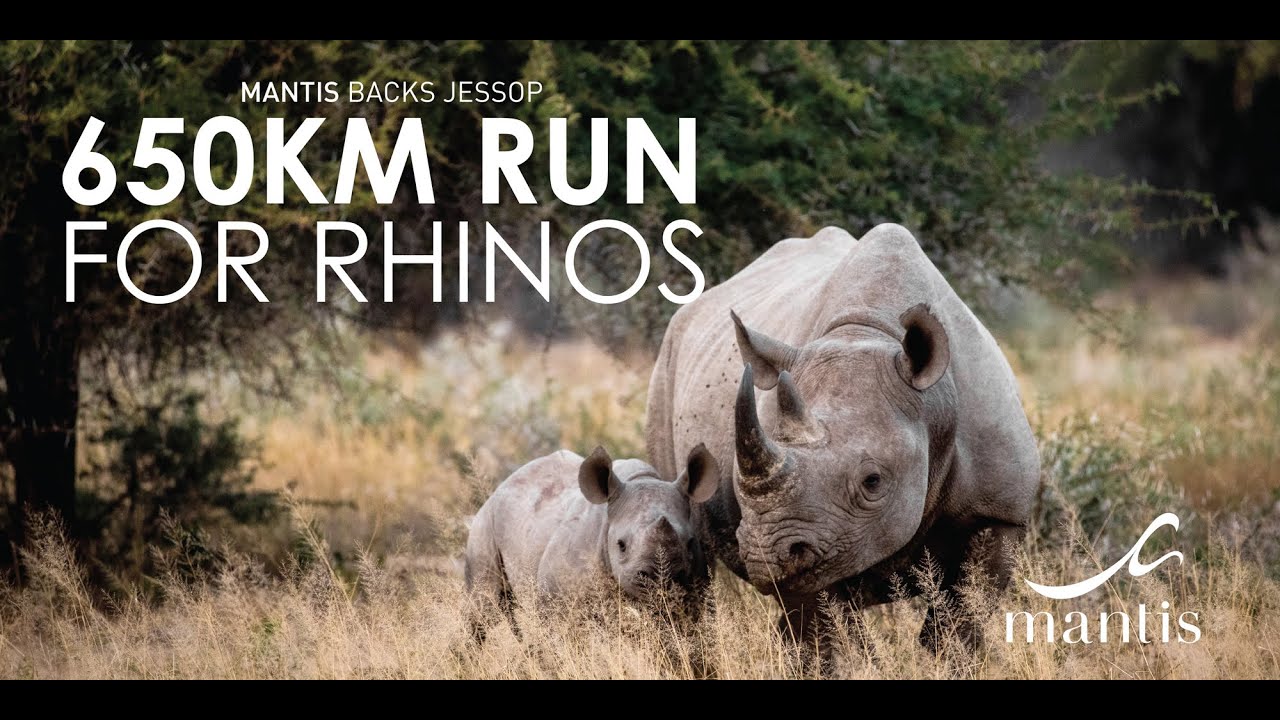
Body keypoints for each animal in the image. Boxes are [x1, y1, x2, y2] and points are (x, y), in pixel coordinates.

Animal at [463, 444, 718, 641]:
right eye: (621, 545)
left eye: (690, 543)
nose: (660, 580)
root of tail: (502, 485)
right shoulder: (556, 601)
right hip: (483, 524)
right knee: (483, 609)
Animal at [645, 224, 1039, 650]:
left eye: (873, 481)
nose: (767, 554)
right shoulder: (817, 536)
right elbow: (827, 632)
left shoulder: (998, 512)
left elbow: (961, 622)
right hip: (665, 366)